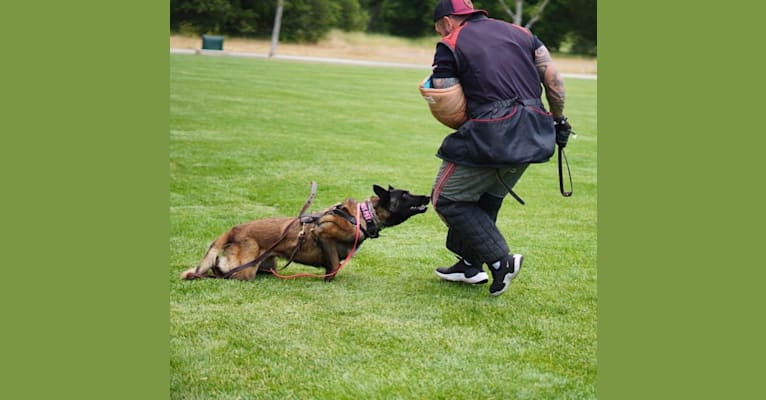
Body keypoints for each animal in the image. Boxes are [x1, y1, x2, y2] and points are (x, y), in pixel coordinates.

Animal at [182, 184, 432, 282]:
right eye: (406, 195)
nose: (428, 196)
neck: (364, 215)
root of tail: (234, 229)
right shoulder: (325, 234)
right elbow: (334, 265)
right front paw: (328, 280)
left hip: (268, 263)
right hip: (246, 269)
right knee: (222, 270)